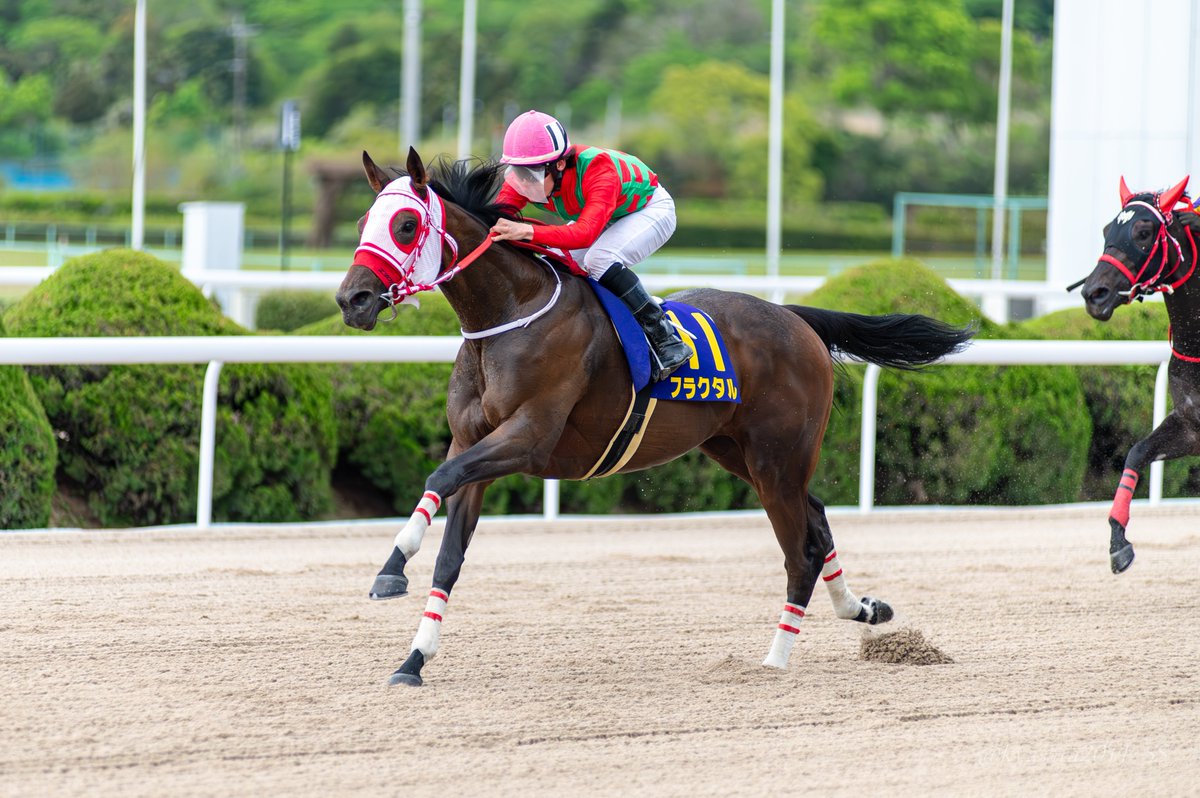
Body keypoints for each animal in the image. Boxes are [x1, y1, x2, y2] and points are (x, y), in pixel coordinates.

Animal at [336, 148, 974, 686]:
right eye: (365, 219)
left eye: (406, 225)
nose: (352, 300)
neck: (510, 317)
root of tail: (796, 318)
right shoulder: (473, 443)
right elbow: (449, 553)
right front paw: (412, 659)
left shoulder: (528, 438)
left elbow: (437, 478)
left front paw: (392, 568)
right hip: (741, 453)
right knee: (816, 518)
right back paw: (860, 608)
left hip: (777, 460)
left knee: (801, 552)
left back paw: (775, 658)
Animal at [1077, 175, 1200, 574]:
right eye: (1106, 230)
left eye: (1144, 232)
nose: (1094, 293)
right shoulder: (1190, 424)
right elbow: (1136, 452)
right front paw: (1119, 543)